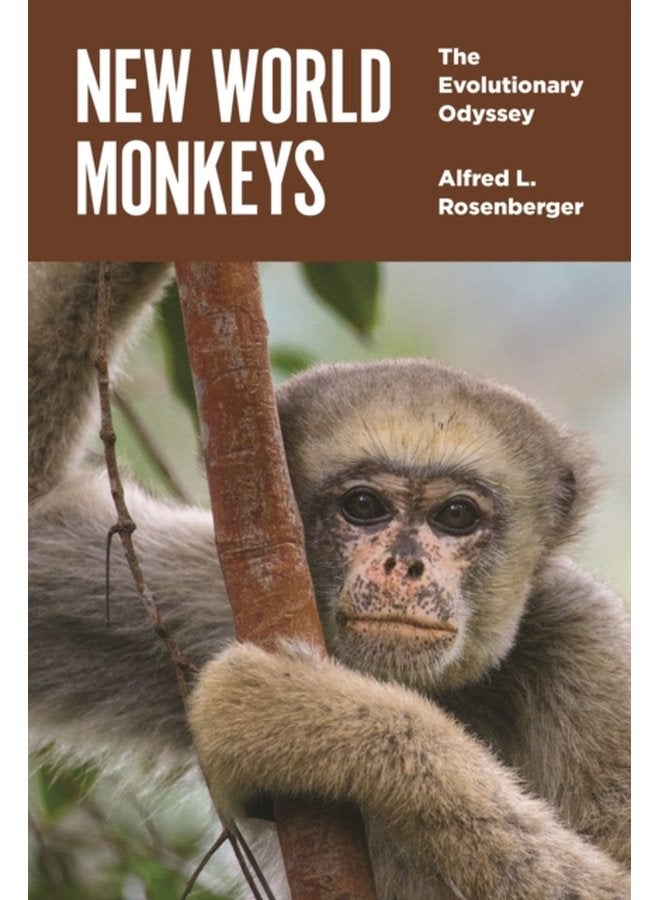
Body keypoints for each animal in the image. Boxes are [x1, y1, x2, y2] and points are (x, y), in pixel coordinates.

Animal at [29, 262, 630, 899]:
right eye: (364, 506)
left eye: (456, 515)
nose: (404, 565)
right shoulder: (211, 593)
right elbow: (32, 521)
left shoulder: (586, 636)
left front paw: (308, 713)